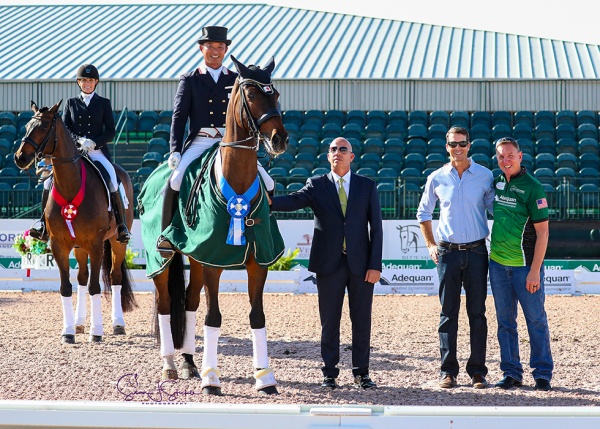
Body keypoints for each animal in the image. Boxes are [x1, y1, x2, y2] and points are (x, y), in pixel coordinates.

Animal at [13, 101, 136, 344]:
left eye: (43, 127)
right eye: (27, 125)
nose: (20, 158)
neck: (70, 184)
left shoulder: (96, 245)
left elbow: (95, 287)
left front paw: (96, 332)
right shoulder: (59, 245)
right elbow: (66, 287)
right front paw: (68, 332)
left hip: (117, 242)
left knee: (115, 277)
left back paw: (118, 324)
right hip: (79, 246)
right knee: (81, 278)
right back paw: (79, 324)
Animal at [141, 56, 290, 394]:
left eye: (275, 94)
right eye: (251, 95)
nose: (279, 139)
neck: (236, 180)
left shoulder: (257, 261)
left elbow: (257, 316)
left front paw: (265, 378)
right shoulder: (214, 262)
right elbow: (214, 317)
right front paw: (212, 379)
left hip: (196, 258)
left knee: (190, 301)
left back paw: (188, 363)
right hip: (162, 259)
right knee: (166, 304)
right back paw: (170, 364)